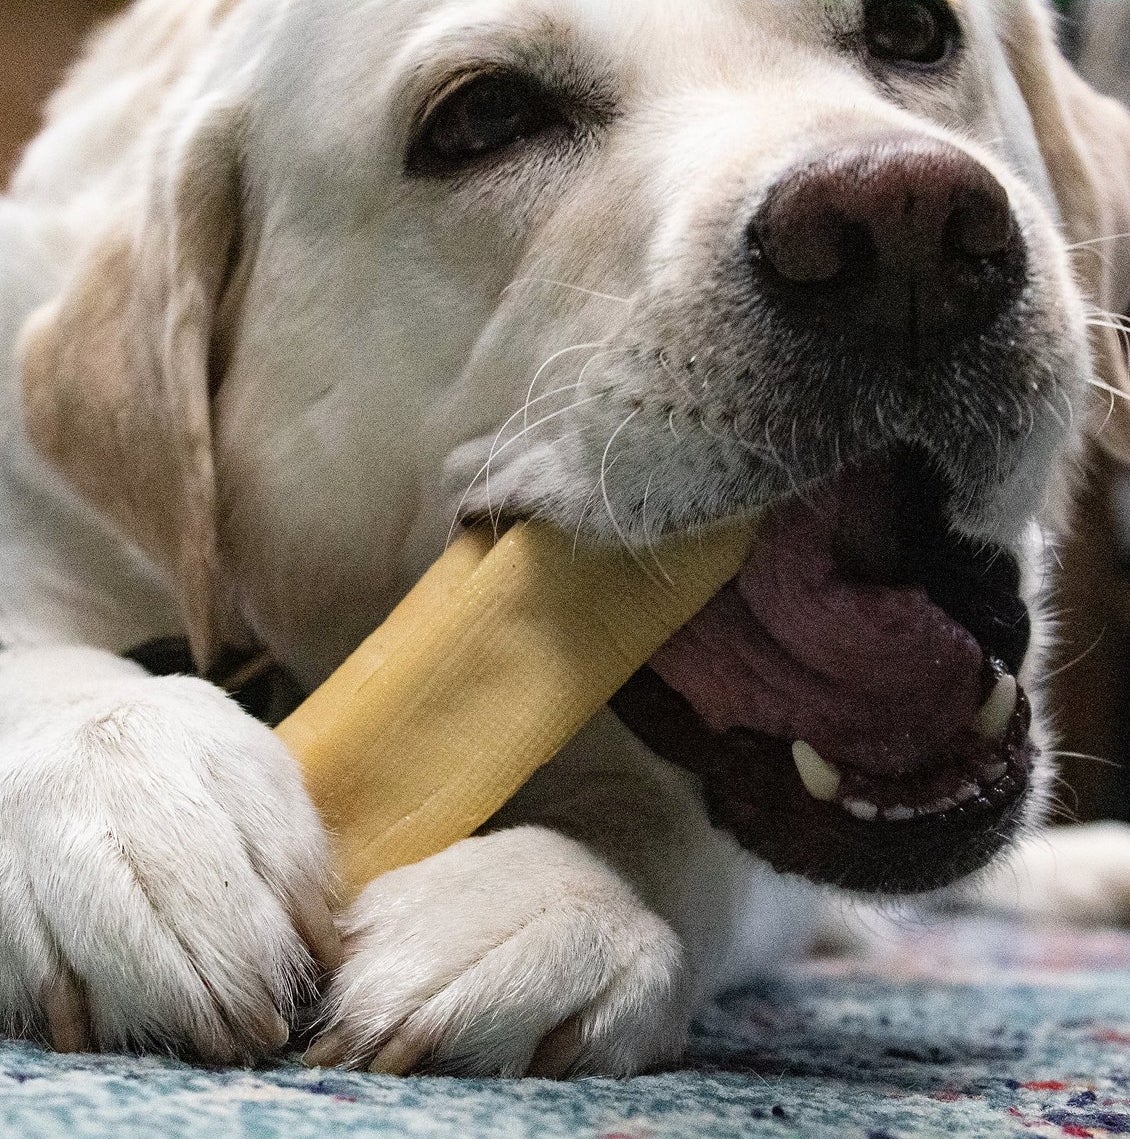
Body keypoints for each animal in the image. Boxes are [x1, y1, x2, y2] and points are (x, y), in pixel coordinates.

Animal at [0, 0, 1130, 1075]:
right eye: (482, 116)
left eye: (911, 28)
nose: (901, 225)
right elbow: (51, 670)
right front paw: (128, 801)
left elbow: (676, 840)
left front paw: (547, 893)